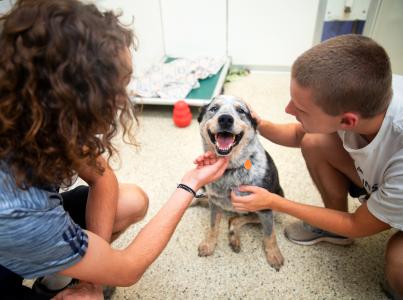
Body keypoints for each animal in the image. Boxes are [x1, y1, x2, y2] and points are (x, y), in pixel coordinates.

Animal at [197, 95, 286, 270]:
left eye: (241, 110)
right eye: (214, 108)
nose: (225, 119)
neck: (231, 169)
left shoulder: (265, 205)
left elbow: (270, 234)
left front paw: (274, 254)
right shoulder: (214, 203)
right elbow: (213, 226)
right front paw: (209, 244)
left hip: (278, 202)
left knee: (238, 219)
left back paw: (234, 236)